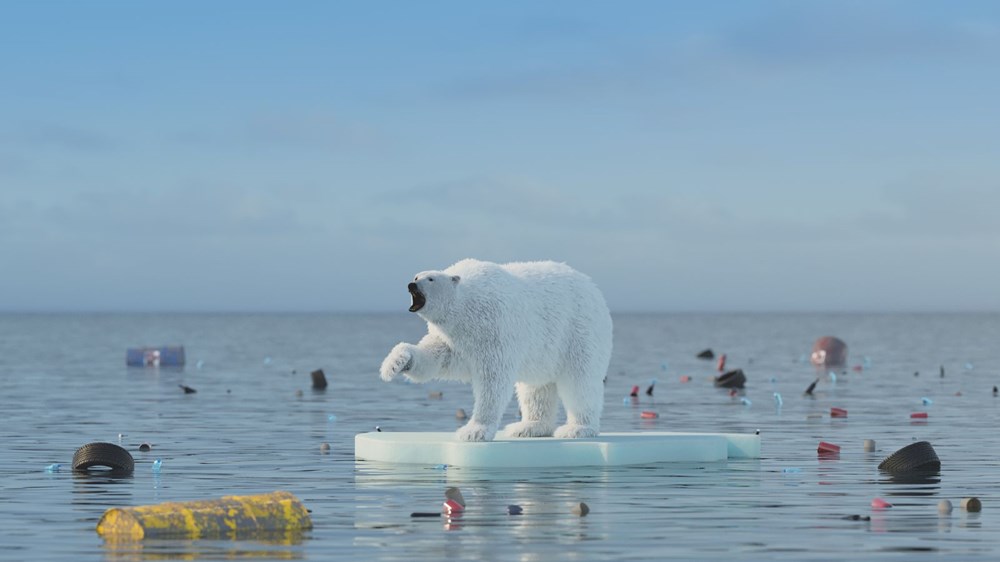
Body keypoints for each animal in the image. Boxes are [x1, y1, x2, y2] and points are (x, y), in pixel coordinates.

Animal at [376, 258, 608, 442]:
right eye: (416, 275)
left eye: (430, 279)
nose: (411, 284)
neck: (466, 303)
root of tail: (594, 288)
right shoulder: (452, 336)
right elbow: (435, 359)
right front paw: (395, 363)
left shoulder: (493, 327)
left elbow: (492, 380)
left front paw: (473, 431)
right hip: (544, 350)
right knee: (535, 388)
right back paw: (528, 427)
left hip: (579, 331)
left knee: (579, 382)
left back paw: (577, 429)